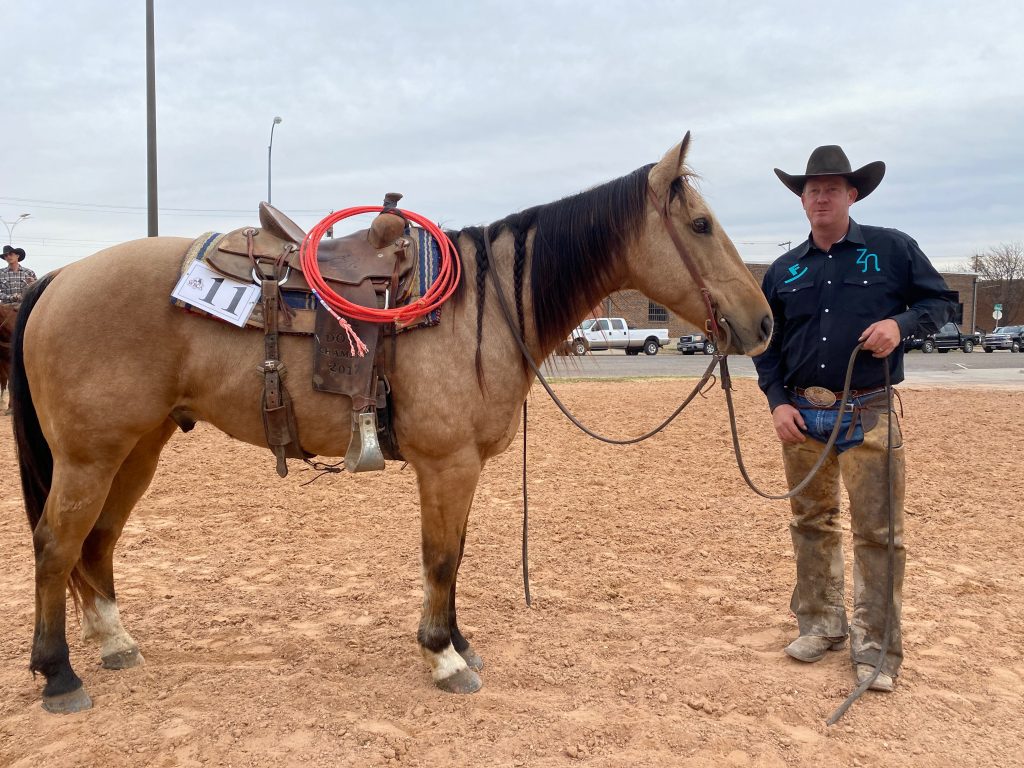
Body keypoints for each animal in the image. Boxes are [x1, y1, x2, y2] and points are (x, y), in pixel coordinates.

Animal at [10, 133, 772, 713]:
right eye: (701, 226)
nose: (762, 322)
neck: (483, 307)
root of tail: (62, 277)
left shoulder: (462, 468)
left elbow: (456, 555)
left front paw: (459, 643)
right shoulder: (447, 462)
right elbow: (440, 558)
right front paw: (442, 659)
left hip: (137, 448)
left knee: (97, 543)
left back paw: (115, 643)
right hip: (89, 456)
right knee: (54, 545)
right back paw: (59, 673)